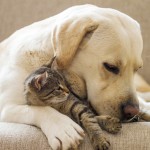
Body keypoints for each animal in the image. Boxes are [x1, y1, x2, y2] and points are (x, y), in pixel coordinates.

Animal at [0, 4, 150, 149]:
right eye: (111, 67)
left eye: (137, 69)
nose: (132, 112)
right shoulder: (5, 105)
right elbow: (36, 109)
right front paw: (62, 127)